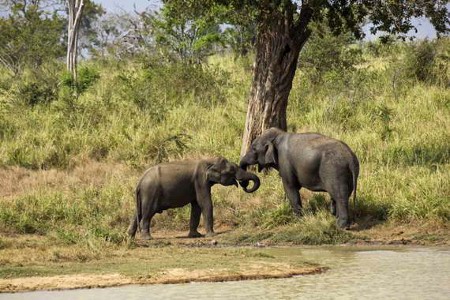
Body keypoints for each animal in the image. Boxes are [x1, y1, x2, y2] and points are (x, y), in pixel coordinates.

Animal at [126, 157, 260, 239]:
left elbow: (196, 206)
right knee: (147, 213)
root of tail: (140, 180)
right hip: (150, 192)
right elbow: (205, 203)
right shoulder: (200, 180)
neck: (209, 160)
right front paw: (212, 235)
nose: (243, 183)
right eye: (232, 170)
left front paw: (196, 235)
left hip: (144, 195)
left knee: (137, 213)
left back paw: (129, 237)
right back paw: (147, 238)